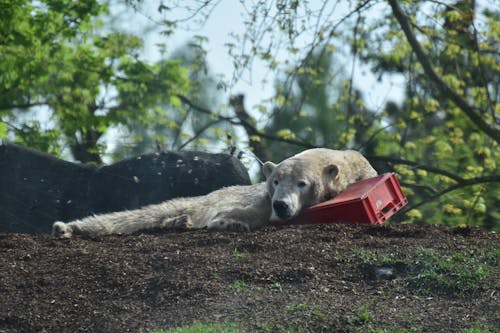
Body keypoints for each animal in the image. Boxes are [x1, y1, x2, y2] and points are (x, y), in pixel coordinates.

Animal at [52, 147, 376, 236]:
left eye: (302, 183)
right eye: (275, 181)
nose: (281, 205)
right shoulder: (258, 198)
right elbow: (249, 211)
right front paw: (229, 221)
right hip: (207, 197)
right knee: (141, 214)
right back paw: (66, 227)